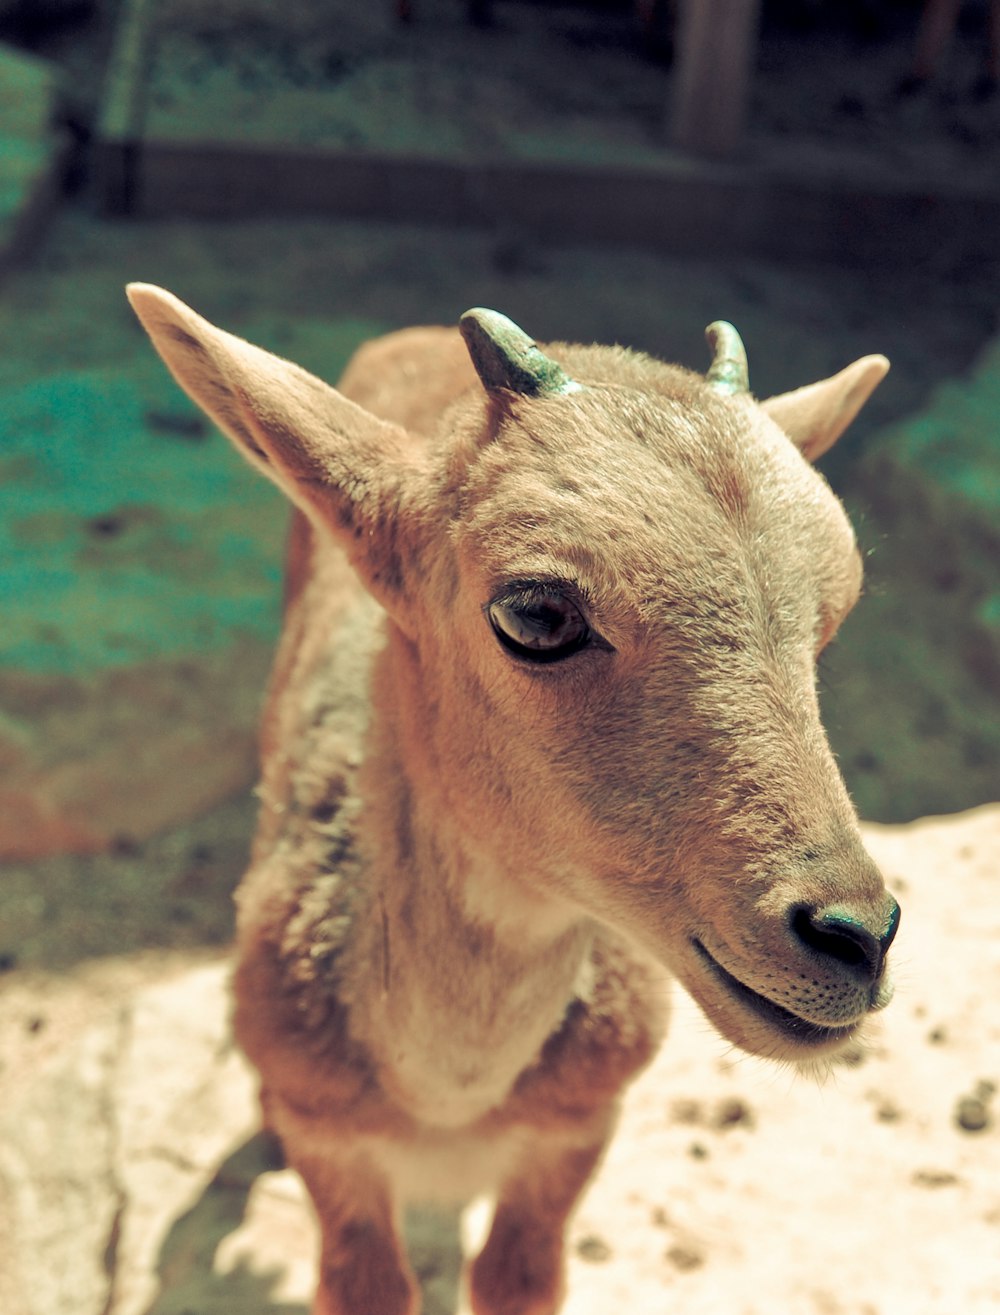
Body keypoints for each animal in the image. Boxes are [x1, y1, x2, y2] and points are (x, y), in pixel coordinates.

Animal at [128, 287, 900, 1315]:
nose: (855, 935)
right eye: (537, 613)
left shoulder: (576, 1127)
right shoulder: (335, 1144)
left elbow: (518, 1277)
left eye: (836, 607)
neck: (447, 1100)